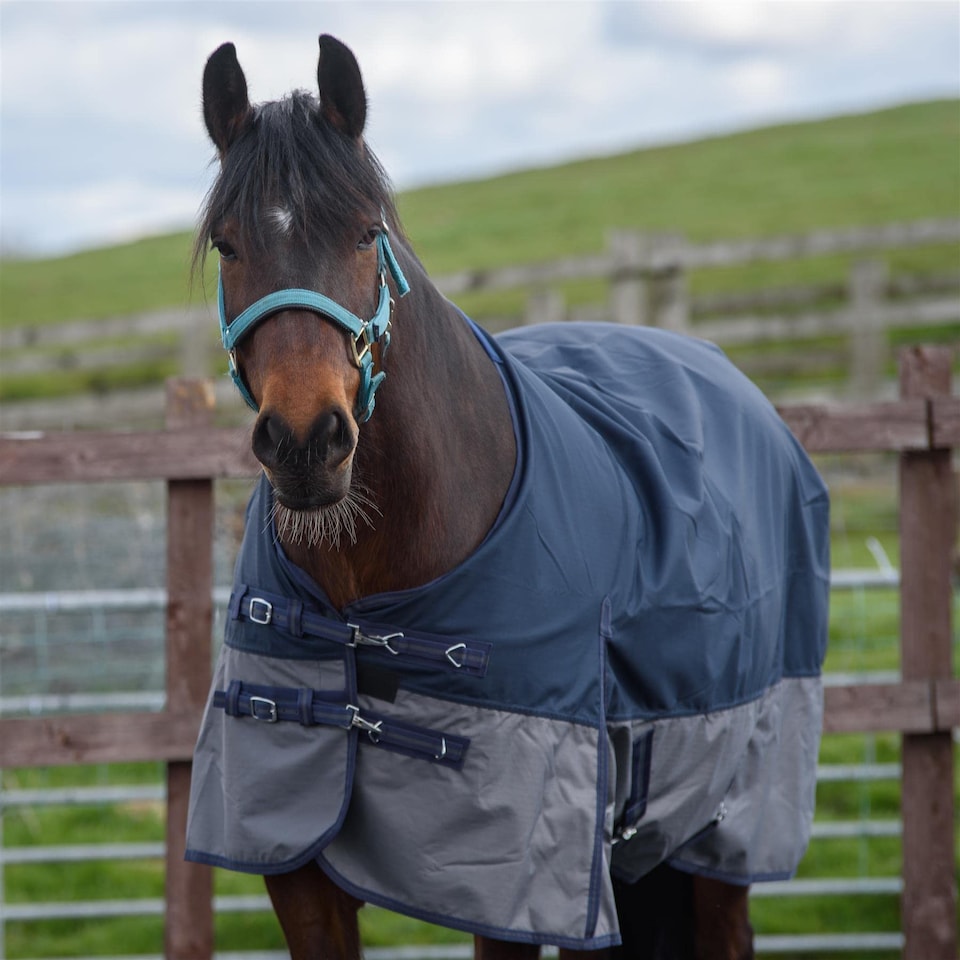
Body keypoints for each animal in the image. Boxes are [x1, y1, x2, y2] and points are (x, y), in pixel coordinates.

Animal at [185, 34, 830, 960]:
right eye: (229, 246)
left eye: (367, 232)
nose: (307, 441)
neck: (368, 587)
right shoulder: (296, 871)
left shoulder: (507, 887)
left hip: (725, 825)